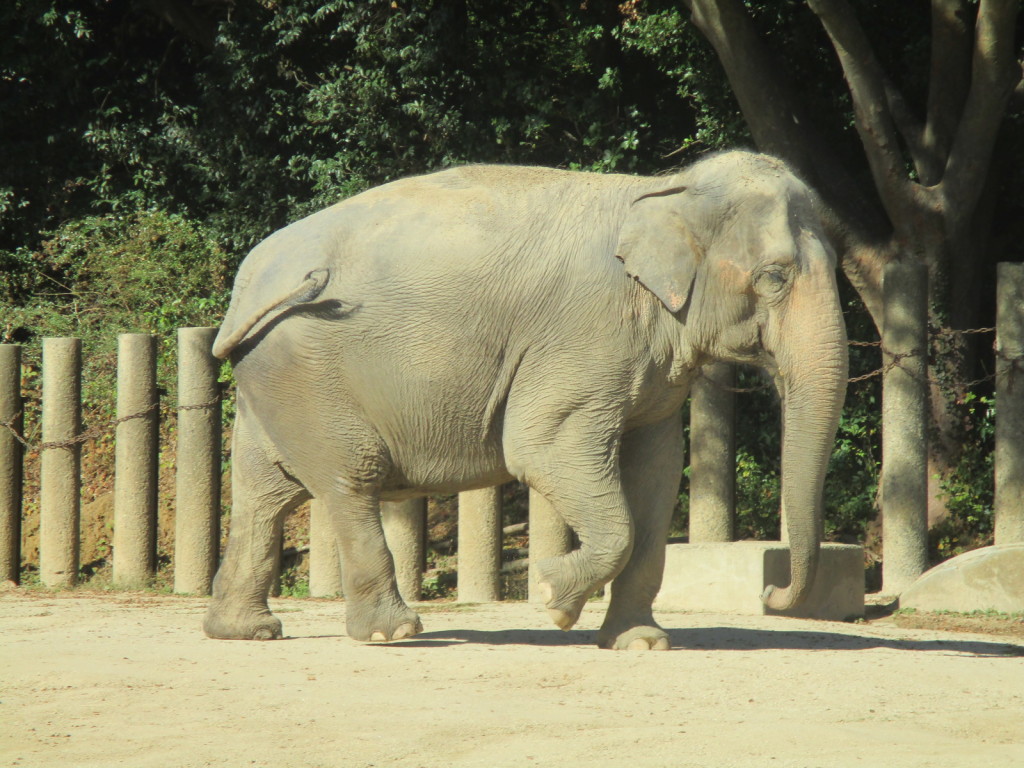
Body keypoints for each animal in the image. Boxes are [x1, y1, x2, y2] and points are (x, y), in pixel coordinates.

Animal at [201, 148, 847, 651]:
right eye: (774, 278)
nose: (771, 590)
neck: (664, 190)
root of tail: (246, 283)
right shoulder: (584, 336)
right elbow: (542, 449)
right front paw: (552, 595)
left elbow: (657, 471)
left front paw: (639, 642)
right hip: (308, 372)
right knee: (351, 479)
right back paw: (393, 633)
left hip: (272, 377)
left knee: (263, 493)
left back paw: (244, 632)